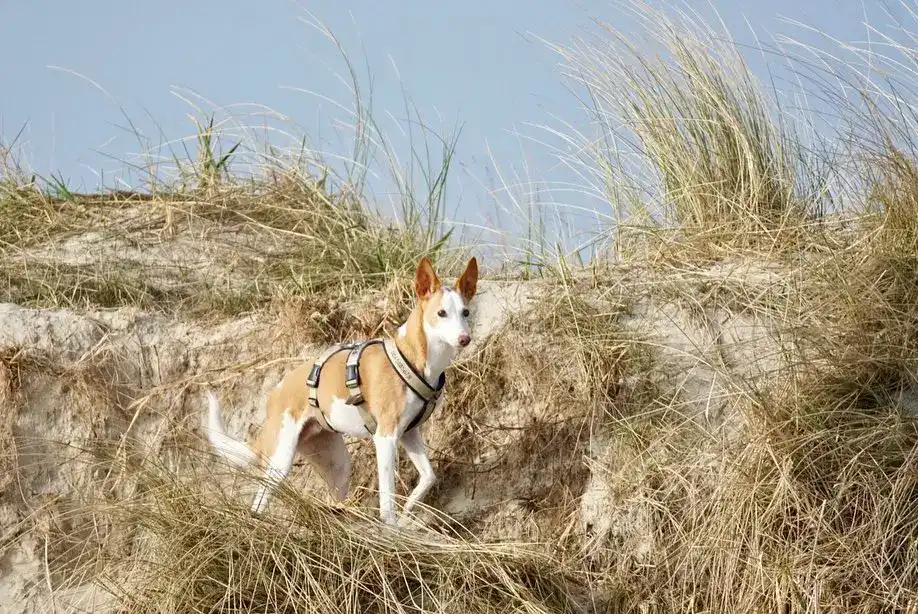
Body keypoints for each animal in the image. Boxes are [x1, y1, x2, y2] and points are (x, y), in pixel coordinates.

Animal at [205, 258, 482, 528]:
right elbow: (387, 500)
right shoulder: (385, 438)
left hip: (337, 466)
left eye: (465, 312)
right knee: (259, 502)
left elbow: (428, 477)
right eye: (441, 313)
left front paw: (408, 512)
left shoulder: (408, 433)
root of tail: (274, 394)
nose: (464, 339)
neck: (413, 357)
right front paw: (392, 527)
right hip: (280, 462)